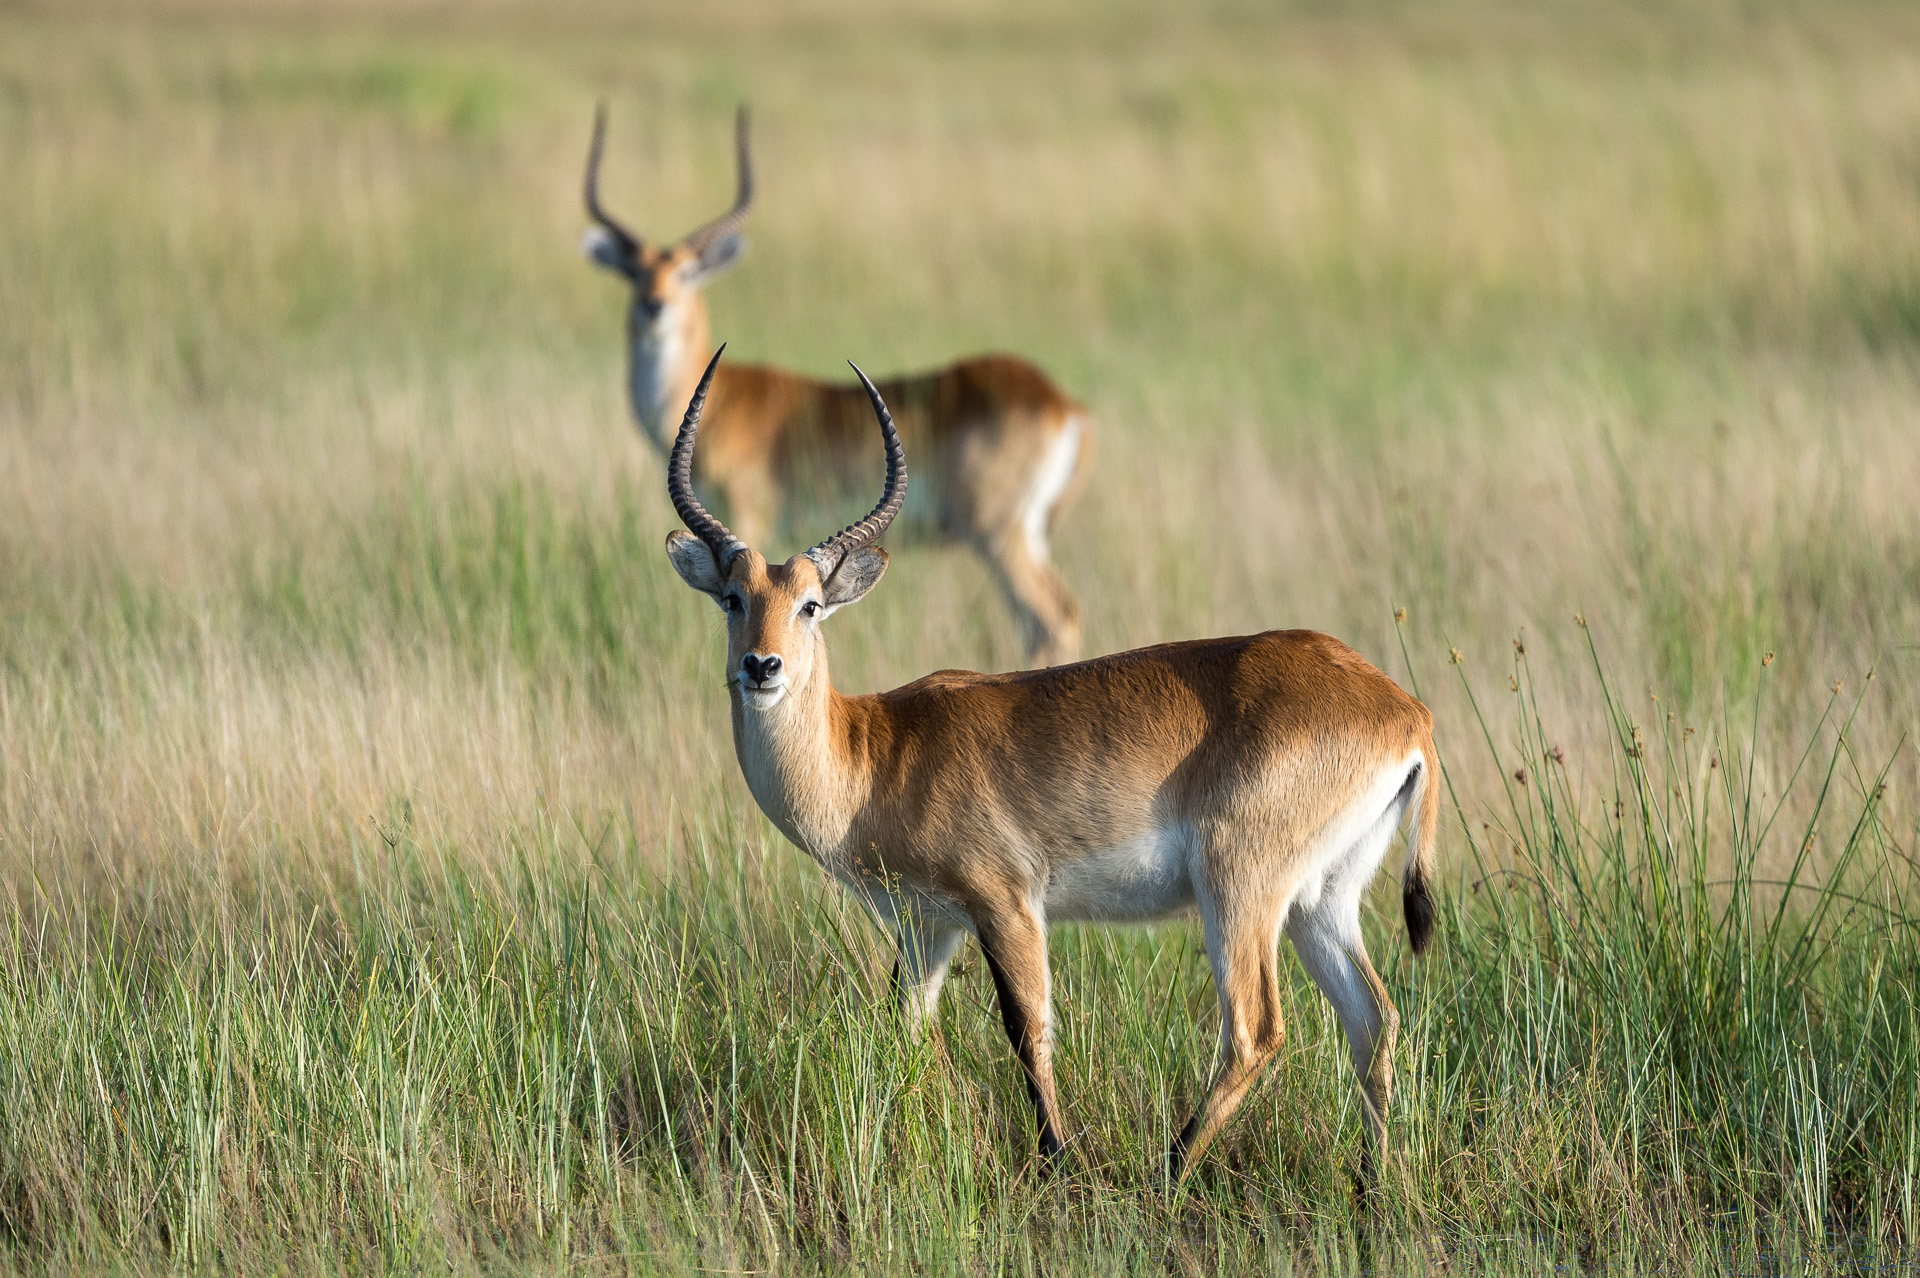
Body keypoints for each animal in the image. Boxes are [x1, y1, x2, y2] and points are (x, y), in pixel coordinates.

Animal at [583, 105, 1090, 666]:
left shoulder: (749, 514)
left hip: (999, 532)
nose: (655, 307)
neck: (717, 400)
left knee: (1054, 616)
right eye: (633, 272)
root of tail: (1060, 401)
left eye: (689, 272)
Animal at [662, 347, 1442, 1180]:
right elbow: (907, 1032)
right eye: (732, 598)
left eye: (810, 604)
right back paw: (1370, 1183)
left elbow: (1027, 1029)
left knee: (1256, 1030)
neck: (876, 753)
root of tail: (1404, 709)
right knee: (1374, 1018)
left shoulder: (1006, 903)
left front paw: (1057, 1159)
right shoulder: (928, 927)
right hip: (1320, 899)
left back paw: (1166, 1171)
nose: (762, 666)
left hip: (1240, 889)